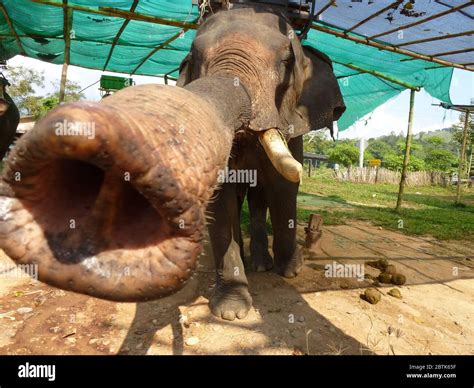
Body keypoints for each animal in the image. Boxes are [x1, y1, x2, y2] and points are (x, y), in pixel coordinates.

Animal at [0, 3, 344, 322]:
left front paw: (290, 271)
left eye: (287, 61)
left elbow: (284, 186)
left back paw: (266, 264)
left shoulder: (292, 123)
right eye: (194, 57)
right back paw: (254, 264)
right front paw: (231, 310)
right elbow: (222, 200)